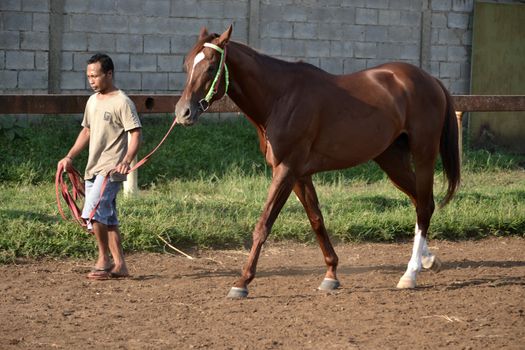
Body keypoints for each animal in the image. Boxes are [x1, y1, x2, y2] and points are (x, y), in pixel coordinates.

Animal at [176, 26, 458, 298]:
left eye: (210, 67)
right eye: (187, 66)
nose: (183, 112)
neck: (280, 97)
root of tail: (431, 80)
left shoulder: (286, 170)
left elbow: (264, 224)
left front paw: (242, 282)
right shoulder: (299, 175)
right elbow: (316, 220)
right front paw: (331, 275)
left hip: (423, 155)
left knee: (424, 207)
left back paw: (410, 274)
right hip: (392, 160)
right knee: (423, 202)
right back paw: (428, 260)